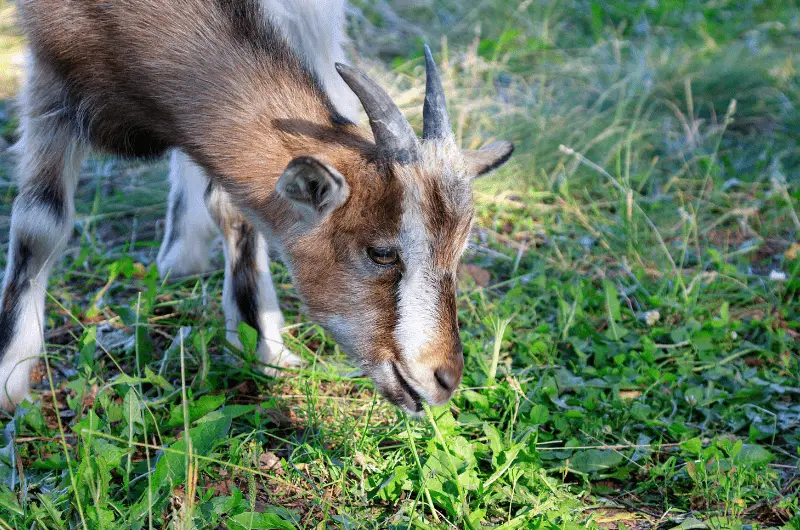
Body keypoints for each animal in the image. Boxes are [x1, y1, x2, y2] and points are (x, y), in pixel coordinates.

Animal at [0, 0, 513, 414]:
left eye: (458, 253)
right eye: (382, 252)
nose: (445, 377)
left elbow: (232, 206)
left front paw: (260, 341)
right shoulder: (48, 78)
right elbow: (40, 224)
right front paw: (10, 375)